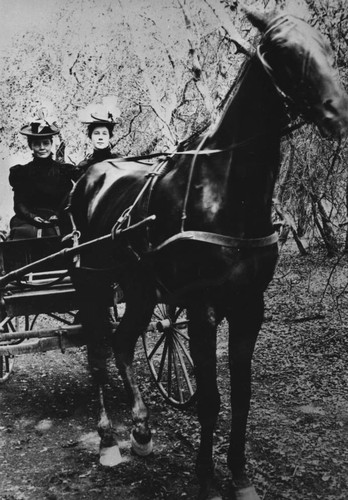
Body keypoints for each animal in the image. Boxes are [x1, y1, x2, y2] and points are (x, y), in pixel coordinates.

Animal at [68, 7, 348, 500]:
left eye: (326, 43)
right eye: (282, 49)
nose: (338, 112)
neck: (226, 192)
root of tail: (93, 172)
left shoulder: (249, 306)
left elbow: (241, 395)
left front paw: (238, 474)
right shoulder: (202, 308)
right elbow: (212, 400)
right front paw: (204, 476)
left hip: (141, 289)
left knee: (122, 343)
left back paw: (141, 429)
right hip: (95, 283)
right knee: (99, 354)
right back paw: (107, 439)